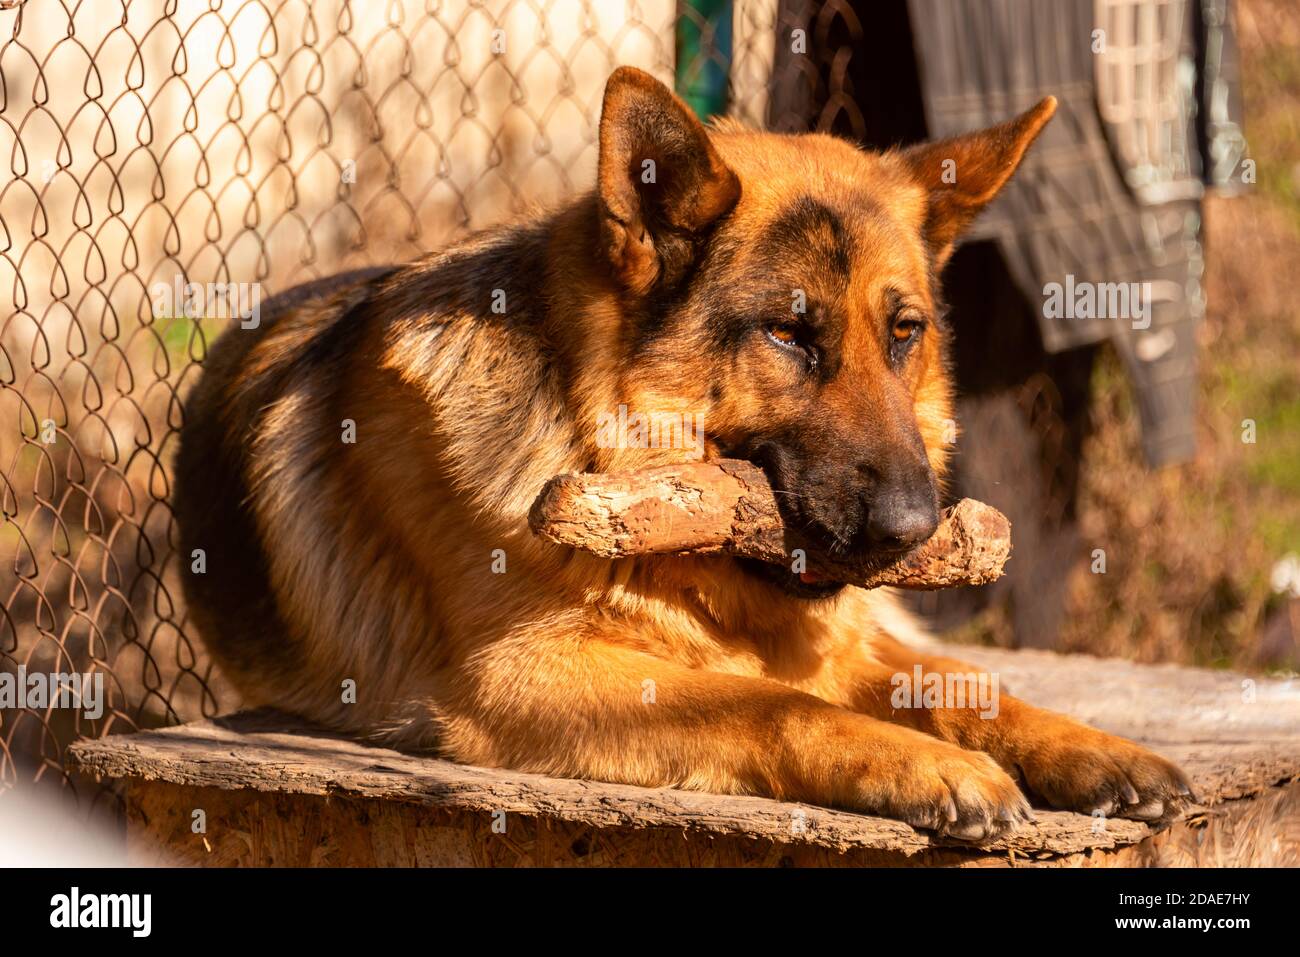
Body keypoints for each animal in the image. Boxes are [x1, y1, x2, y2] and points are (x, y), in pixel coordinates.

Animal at [175, 67, 1190, 842]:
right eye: (788, 335)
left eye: (904, 334)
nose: (915, 530)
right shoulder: (524, 678)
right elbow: (765, 701)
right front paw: (932, 765)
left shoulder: (846, 642)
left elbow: (960, 681)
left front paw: (1084, 745)